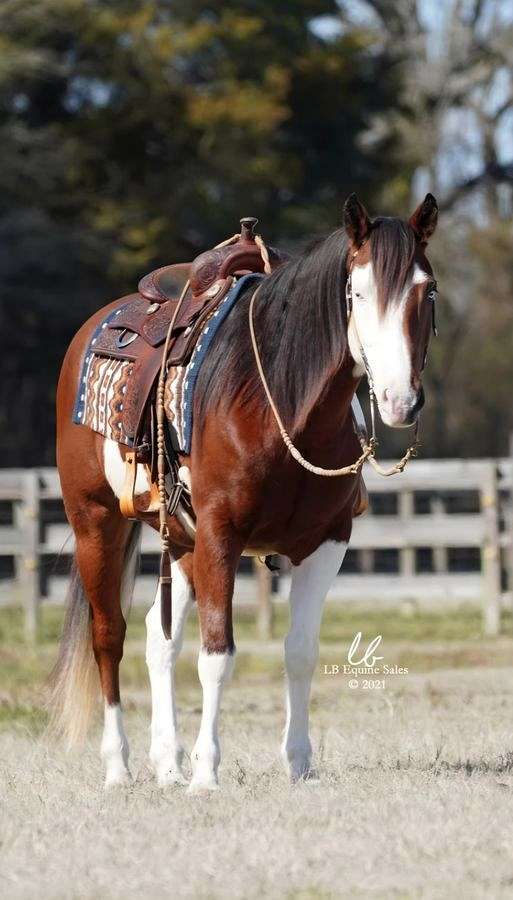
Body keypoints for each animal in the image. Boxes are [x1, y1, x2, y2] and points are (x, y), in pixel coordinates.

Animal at [51, 192, 438, 790]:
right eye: (357, 293)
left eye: (429, 290)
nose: (400, 401)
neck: (276, 401)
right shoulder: (221, 535)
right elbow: (217, 654)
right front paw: (207, 774)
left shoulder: (327, 542)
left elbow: (300, 651)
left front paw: (299, 764)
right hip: (97, 521)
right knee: (109, 634)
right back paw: (119, 765)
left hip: (182, 542)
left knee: (159, 638)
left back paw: (167, 763)